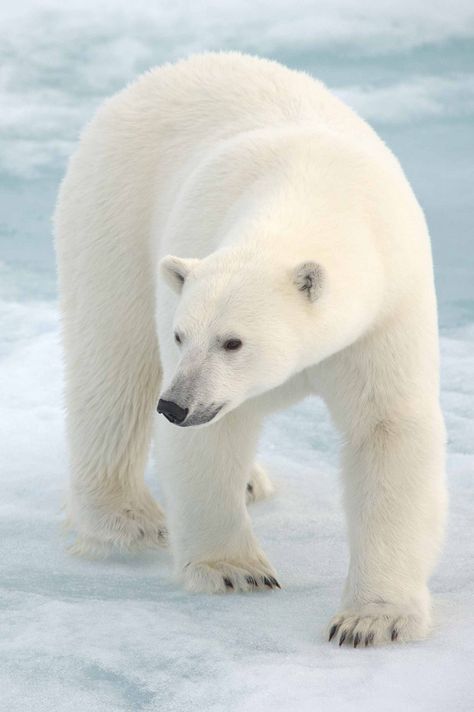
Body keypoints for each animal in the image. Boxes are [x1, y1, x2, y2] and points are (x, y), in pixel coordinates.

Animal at [53, 52, 446, 648]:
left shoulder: (385, 310)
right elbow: (211, 437)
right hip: (113, 211)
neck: (310, 189)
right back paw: (127, 520)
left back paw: (249, 480)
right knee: (114, 363)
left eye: (233, 341)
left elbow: (388, 428)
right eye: (181, 335)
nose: (176, 405)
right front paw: (234, 570)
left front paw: (369, 620)